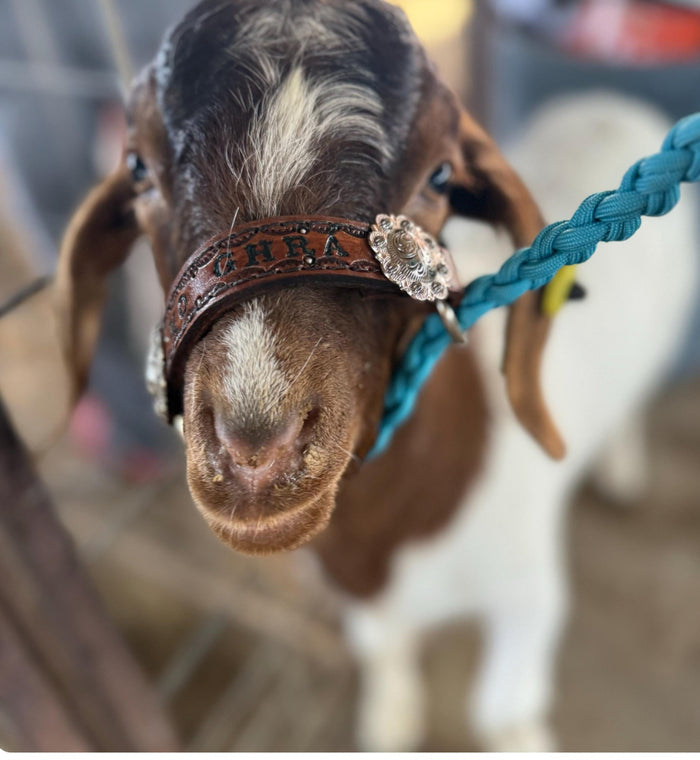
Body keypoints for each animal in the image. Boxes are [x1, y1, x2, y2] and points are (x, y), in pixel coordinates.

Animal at [54, 0, 698, 750]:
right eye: (138, 168)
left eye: (440, 177)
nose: (254, 448)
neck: (397, 535)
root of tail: (605, 101)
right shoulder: (360, 593)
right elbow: (381, 648)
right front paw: (391, 718)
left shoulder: (528, 596)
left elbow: (500, 707)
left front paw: (523, 742)